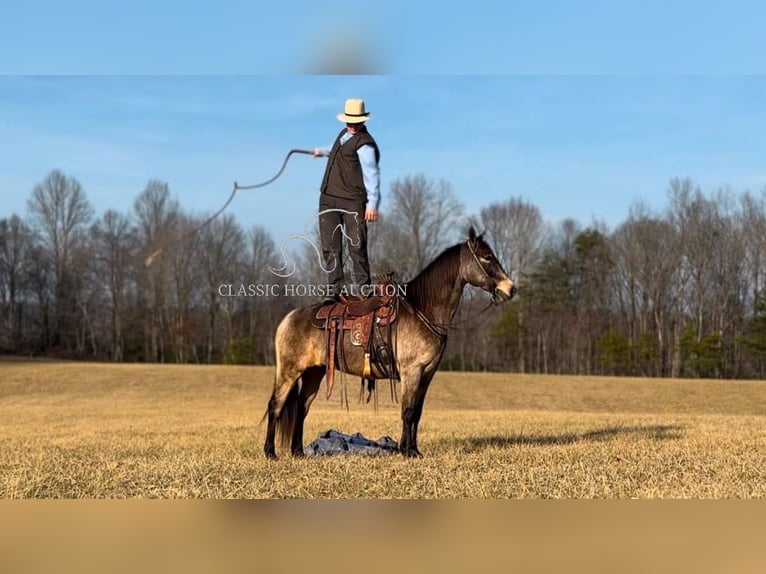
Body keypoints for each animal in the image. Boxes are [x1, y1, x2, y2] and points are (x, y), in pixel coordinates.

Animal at [262, 227, 516, 462]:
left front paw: (414, 449)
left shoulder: (427, 374)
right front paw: (407, 451)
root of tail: (289, 318)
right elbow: (408, 411)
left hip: (314, 373)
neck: (422, 311)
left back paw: (297, 452)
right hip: (289, 372)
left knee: (301, 408)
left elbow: (417, 413)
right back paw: (270, 453)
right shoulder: (412, 372)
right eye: (486, 257)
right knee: (276, 406)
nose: (511, 288)